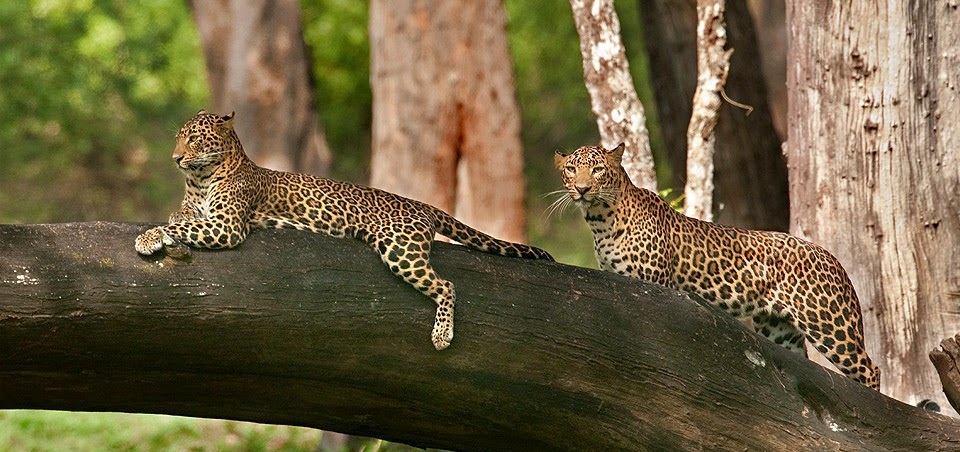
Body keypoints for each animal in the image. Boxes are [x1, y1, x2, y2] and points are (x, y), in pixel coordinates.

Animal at [136, 109, 556, 350]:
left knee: (447, 285)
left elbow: (179, 223)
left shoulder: (228, 227)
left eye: (193, 139)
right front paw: (164, 230)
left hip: (401, 250)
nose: (175, 158)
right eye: (179, 138)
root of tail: (422, 205)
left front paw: (148, 237)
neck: (201, 178)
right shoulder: (199, 211)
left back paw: (442, 335)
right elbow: (180, 217)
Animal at [552, 142, 880, 388]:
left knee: (869, 369)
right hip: (780, 329)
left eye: (597, 169)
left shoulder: (655, 284)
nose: (582, 189)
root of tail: (834, 259)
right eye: (571, 169)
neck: (601, 220)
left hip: (829, 324)